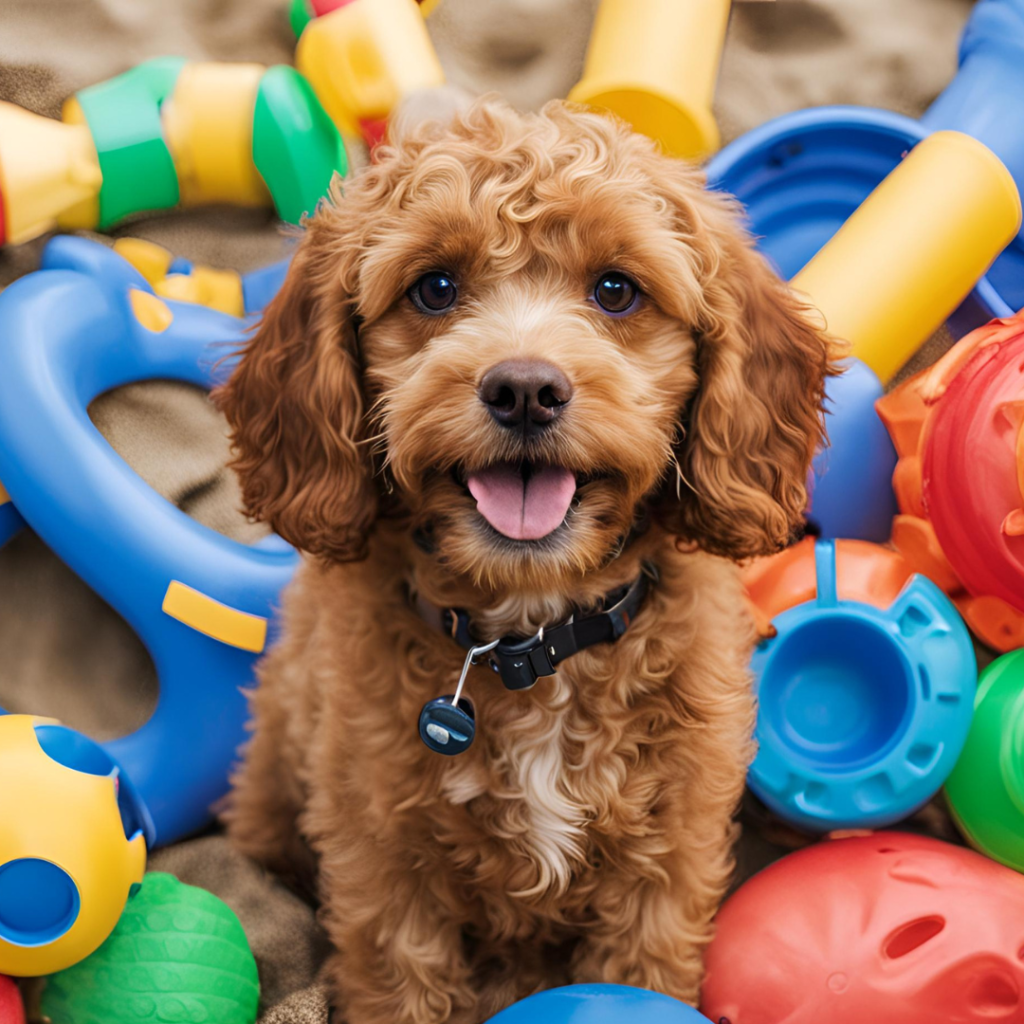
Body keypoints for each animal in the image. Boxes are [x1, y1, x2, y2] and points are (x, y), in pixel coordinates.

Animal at [218, 97, 831, 1024]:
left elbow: (642, 968)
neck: (530, 632)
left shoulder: (667, 858)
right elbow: (400, 983)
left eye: (616, 290)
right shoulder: (381, 859)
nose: (525, 390)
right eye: (434, 288)